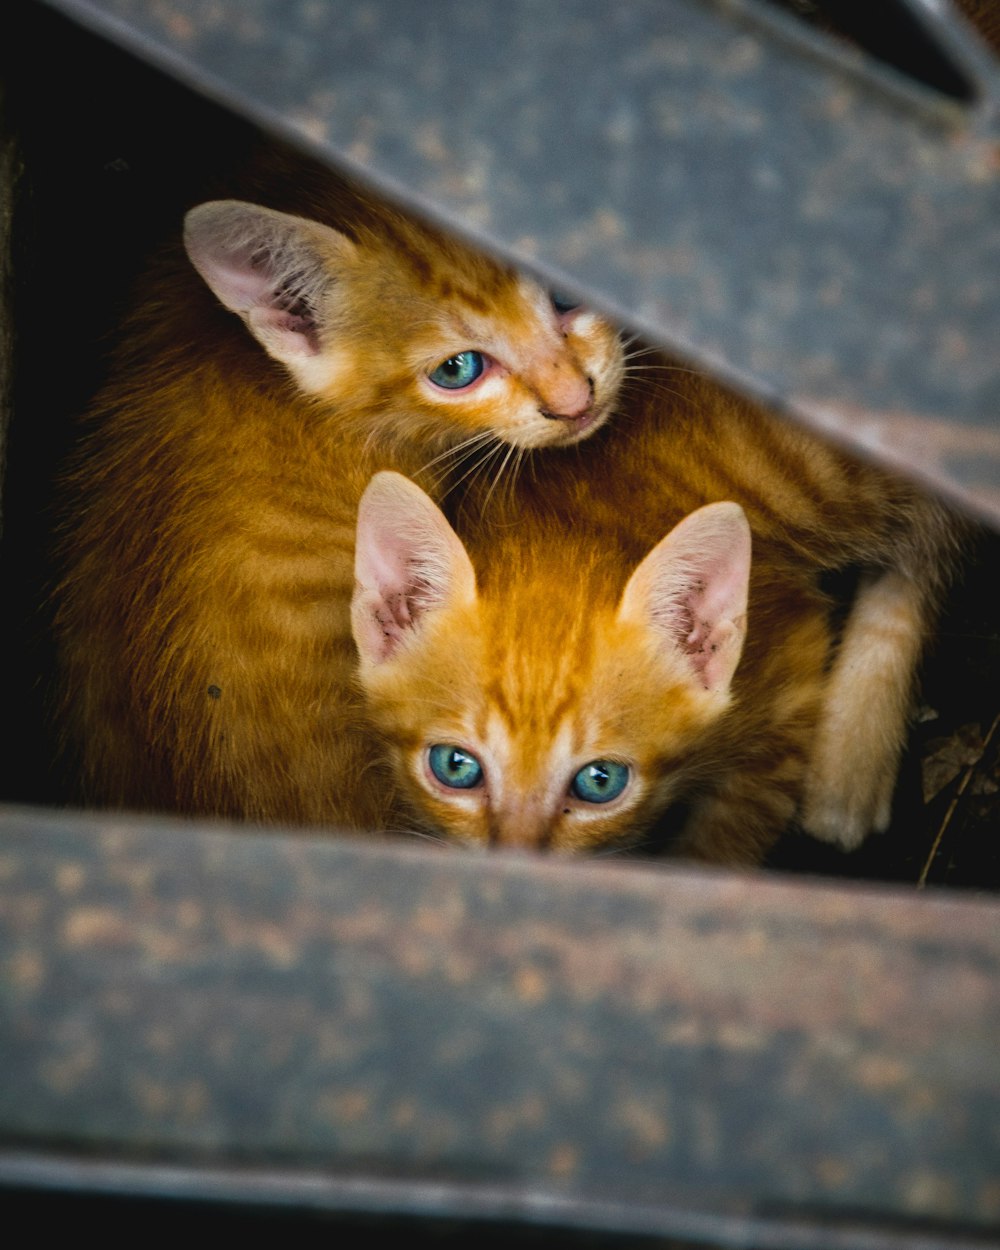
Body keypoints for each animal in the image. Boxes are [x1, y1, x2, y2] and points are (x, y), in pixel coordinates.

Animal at [352, 365, 960, 860]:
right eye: (456, 767)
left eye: (600, 781)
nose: (520, 865)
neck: (562, 535)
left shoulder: (792, 675)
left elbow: (722, 850)